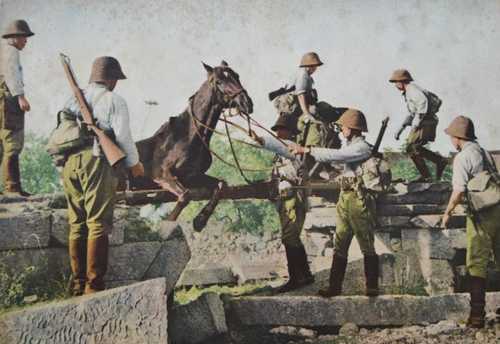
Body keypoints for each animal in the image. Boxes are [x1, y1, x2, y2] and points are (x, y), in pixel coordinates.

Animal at [128, 60, 254, 222]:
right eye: (218, 82)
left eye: (237, 76)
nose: (247, 103)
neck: (187, 138)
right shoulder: (162, 177)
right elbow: (185, 196)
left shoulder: (192, 177)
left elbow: (221, 185)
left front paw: (200, 221)